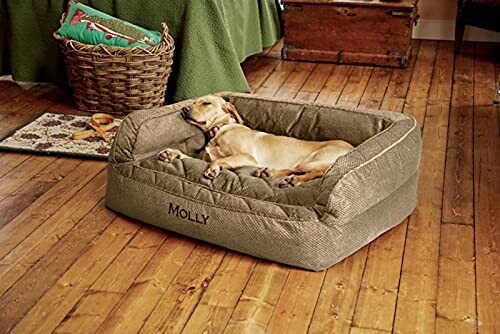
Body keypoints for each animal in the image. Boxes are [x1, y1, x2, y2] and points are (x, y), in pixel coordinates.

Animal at [158, 95, 354, 187]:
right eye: (194, 102)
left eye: (206, 103)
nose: (183, 109)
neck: (219, 130)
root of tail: (351, 148)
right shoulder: (202, 158)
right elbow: (187, 156)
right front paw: (171, 153)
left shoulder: (247, 157)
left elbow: (221, 160)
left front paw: (213, 169)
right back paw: (268, 173)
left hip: (311, 161)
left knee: (317, 172)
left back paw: (292, 181)